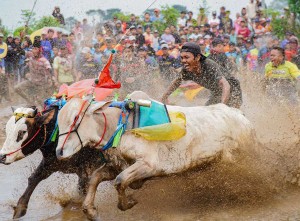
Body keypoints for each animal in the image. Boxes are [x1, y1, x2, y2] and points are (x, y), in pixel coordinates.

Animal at [55, 93, 255, 219]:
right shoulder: (116, 165)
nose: (58, 152)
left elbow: (120, 181)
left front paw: (129, 202)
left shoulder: (149, 165)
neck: (122, 126)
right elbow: (95, 178)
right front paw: (90, 210)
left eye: (75, 119)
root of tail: (241, 115)